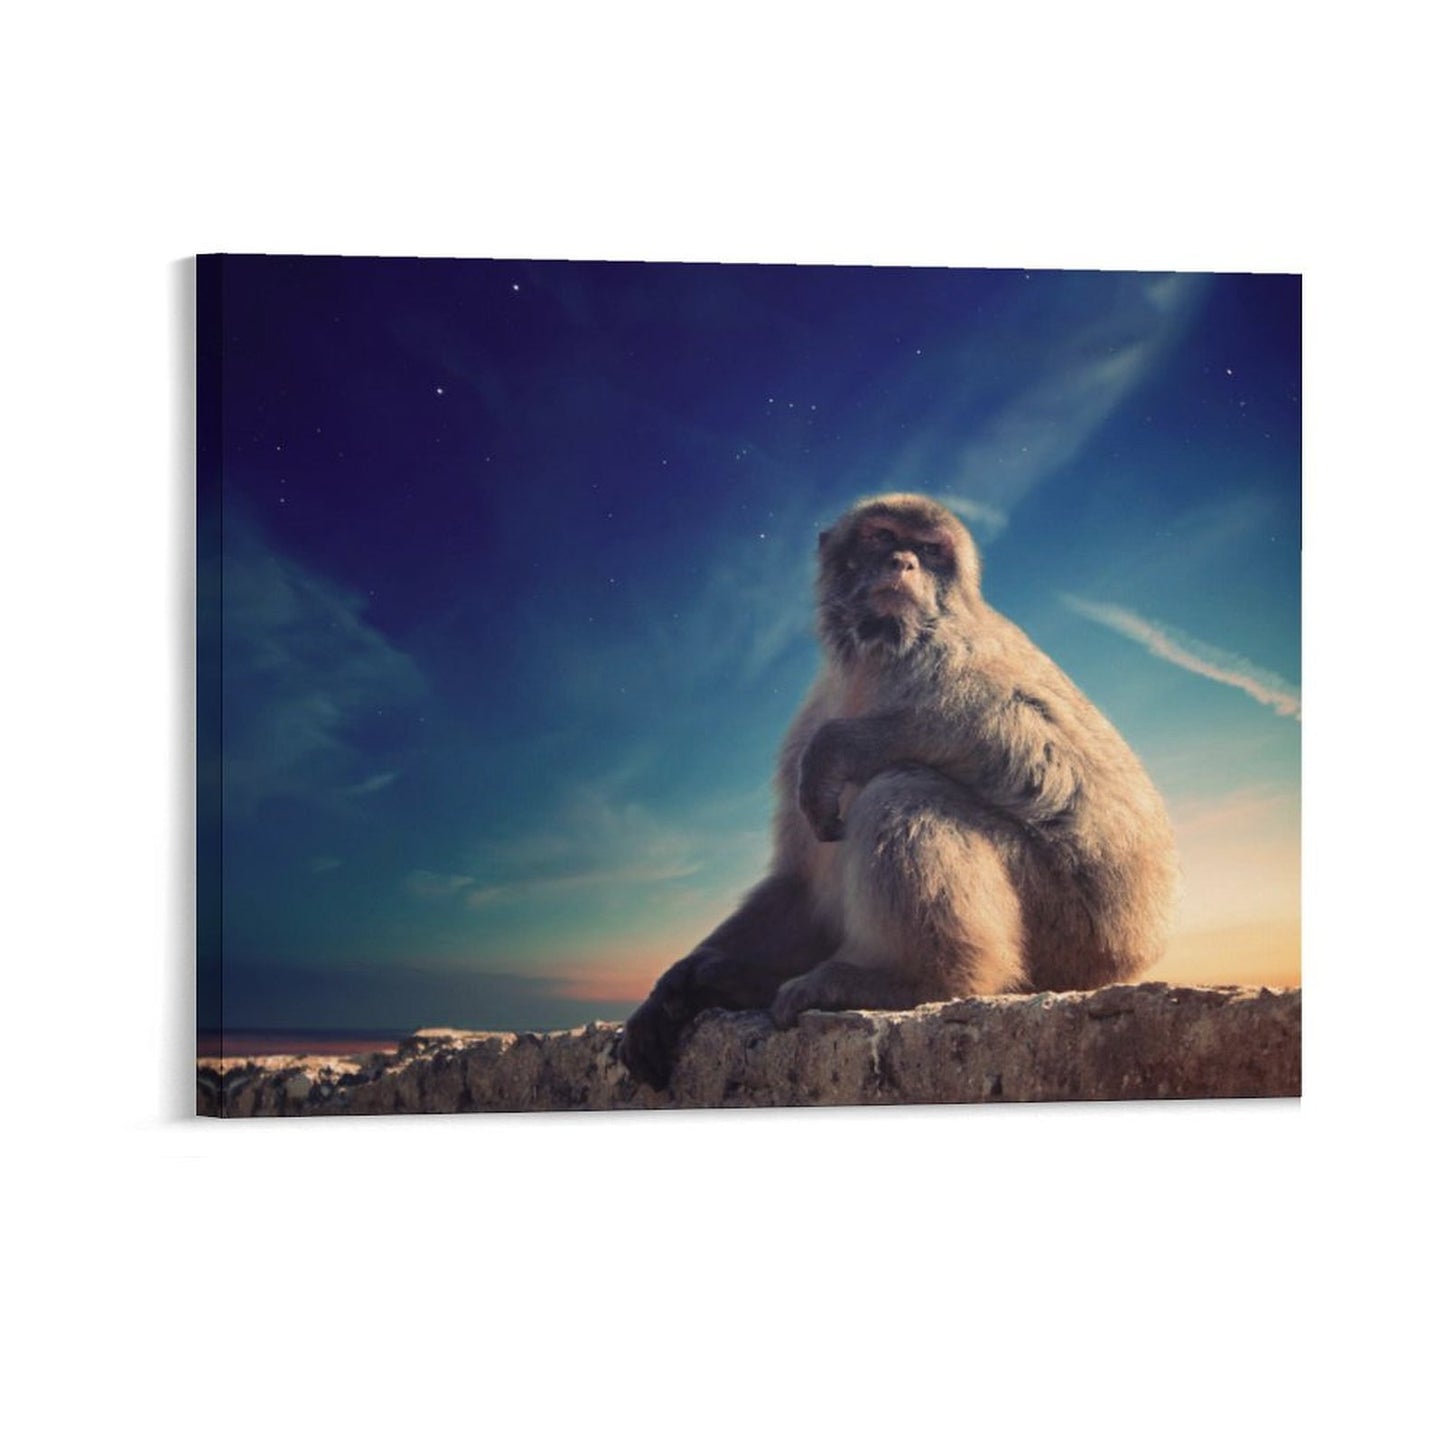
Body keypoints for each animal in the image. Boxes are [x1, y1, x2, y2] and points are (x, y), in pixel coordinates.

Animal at [618, 493, 1177, 1090]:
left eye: (930, 551)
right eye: (882, 537)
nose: (903, 563)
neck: (873, 657)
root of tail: (1133, 952)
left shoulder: (954, 651)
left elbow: (1045, 749)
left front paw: (842, 746)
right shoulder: (808, 719)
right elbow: (800, 882)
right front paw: (674, 987)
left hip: (1068, 930)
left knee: (901, 790)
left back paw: (912, 979)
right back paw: (745, 981)